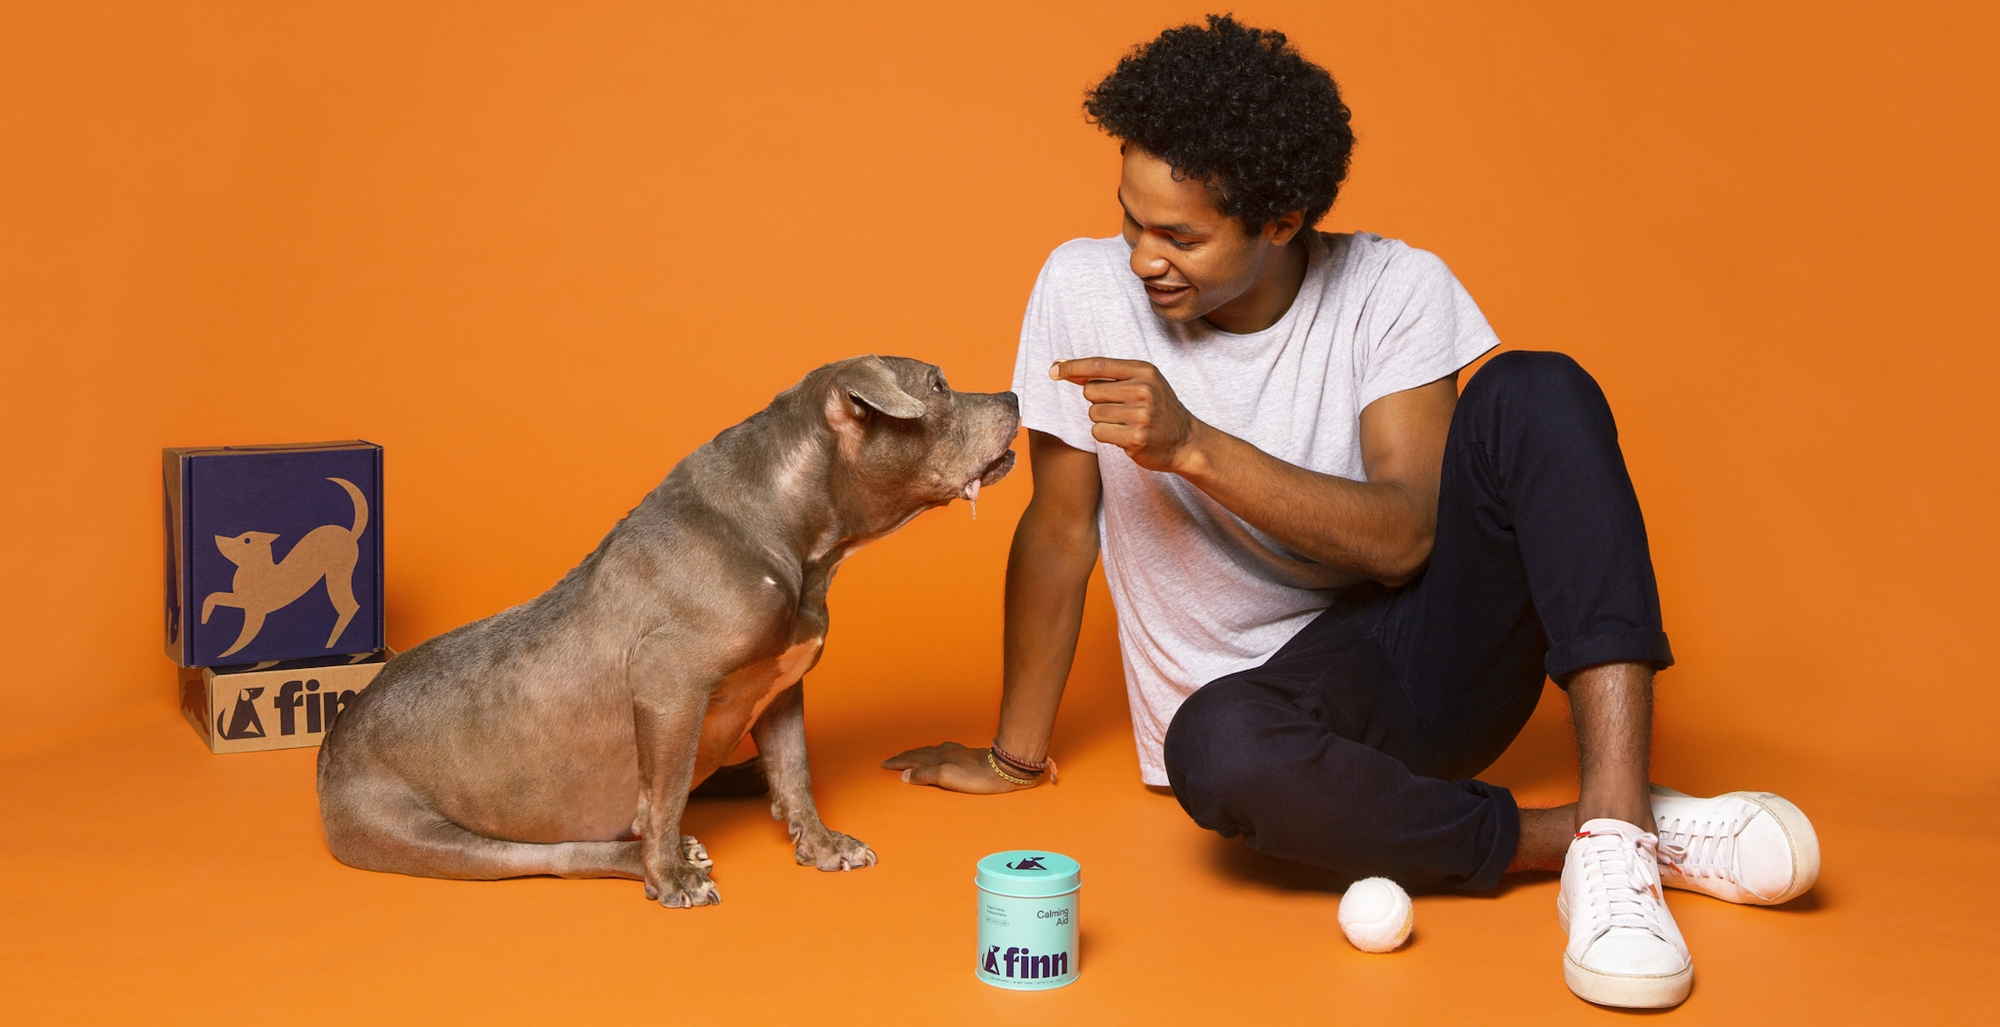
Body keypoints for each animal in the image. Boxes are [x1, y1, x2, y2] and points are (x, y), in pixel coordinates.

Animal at [324, 353, 1032, 903]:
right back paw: (653, 858)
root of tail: (335, 736)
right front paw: (668, 878)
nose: (1014, 395)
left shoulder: (783, 686)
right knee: (560, 853)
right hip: (438, 839)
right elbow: (662, 796)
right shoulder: (668, 681)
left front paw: (822, 843)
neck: (794, 533)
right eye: (937, 386)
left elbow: (796, 772)